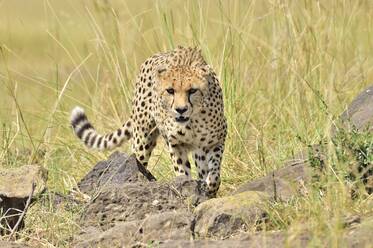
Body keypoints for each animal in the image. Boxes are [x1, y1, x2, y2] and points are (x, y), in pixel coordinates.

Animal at [70, 45, 227, 195]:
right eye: (170, 91)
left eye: (192, 90)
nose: (180, 109)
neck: (191, 122)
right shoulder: (175, 145)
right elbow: (182, 170)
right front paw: (187, 186)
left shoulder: (216, 140)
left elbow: (214, 172)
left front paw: (209, 188)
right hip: (143, 139)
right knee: (139, 159)